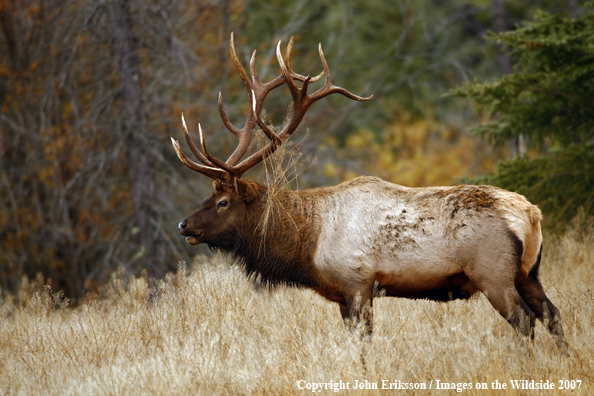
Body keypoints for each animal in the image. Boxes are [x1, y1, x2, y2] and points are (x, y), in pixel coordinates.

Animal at [170, 33, 564, 350]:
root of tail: (531, 214)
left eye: (223, 201)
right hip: (529, 272)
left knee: (525, 321)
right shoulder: (343, 296)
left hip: (492, 272)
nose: (184, 225)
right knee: (553, 315)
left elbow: (364, 342)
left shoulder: (357, 281)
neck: (309, 242)